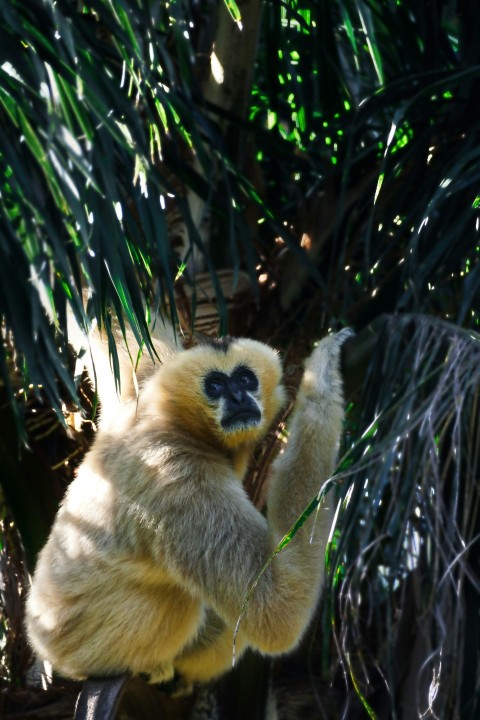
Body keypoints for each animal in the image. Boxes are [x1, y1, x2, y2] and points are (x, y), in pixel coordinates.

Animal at [25, 321, 351, 688]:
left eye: (245, 379)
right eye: (215, 386)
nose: (238, 397)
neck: (176, 423)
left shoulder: (141, 390)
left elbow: (115, 327)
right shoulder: (180, 479)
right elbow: (276, 612)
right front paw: (322, 373)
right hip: (89, 648)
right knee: (180, 598)